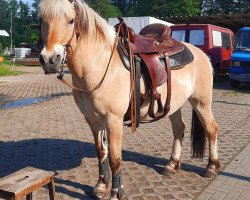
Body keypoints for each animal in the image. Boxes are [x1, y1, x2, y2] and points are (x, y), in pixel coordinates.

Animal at [38, 0, 220, 199]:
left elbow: (114, 158)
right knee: (179, 129)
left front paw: (116, 192)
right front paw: (101, 186)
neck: (101, 65)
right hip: (174, 105)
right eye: (41, 20)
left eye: (71, 21)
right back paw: (172, 165)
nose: (50, 59)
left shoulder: (113, 119)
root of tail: (201, 54)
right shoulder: (93, 120)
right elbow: (101, 152)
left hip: (201, 102)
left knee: (211, 129)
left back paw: (212, 167)